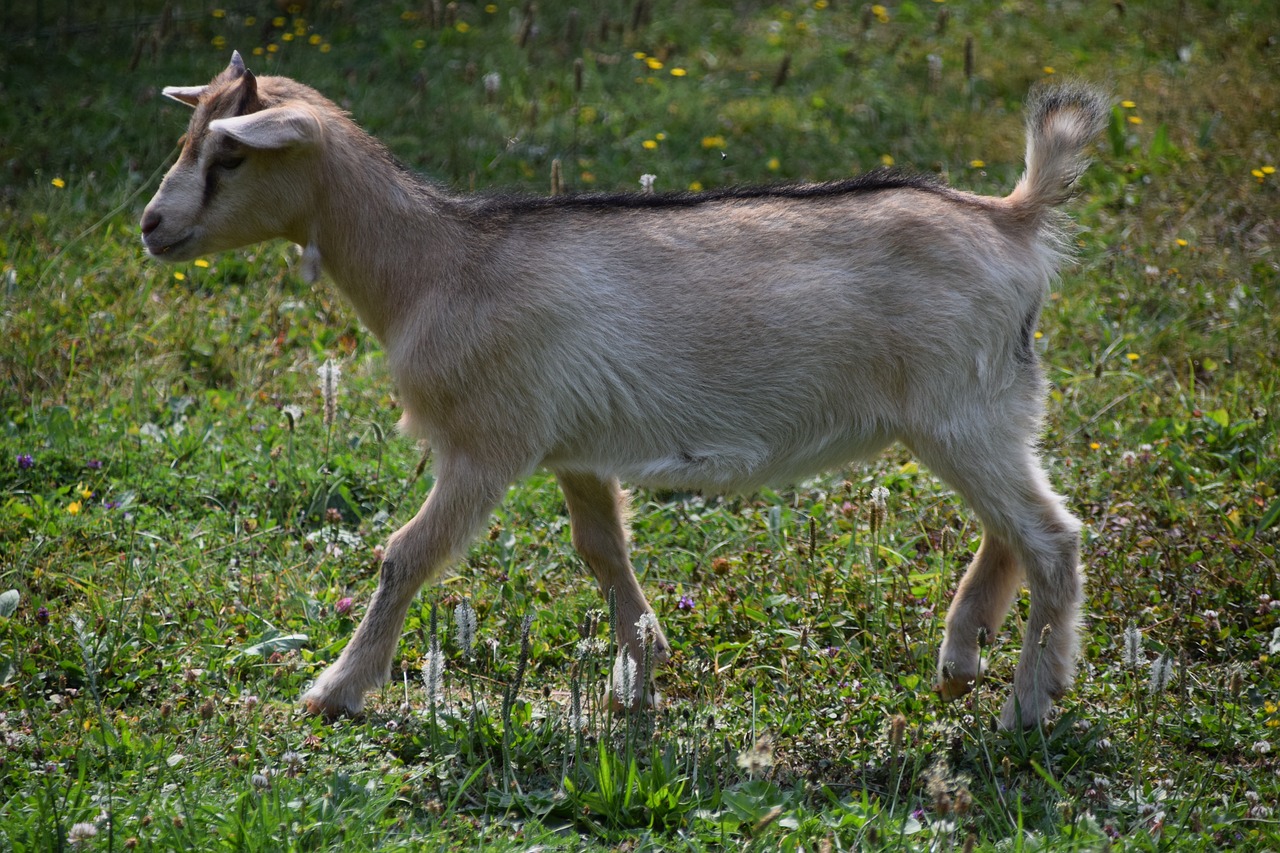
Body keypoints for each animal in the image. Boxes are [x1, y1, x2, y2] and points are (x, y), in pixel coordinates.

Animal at [142, 53, 1111, 727]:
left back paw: (1029, 703)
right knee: (1011, 526)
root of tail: (1014, 217)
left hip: (962, 410)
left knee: (1052, 537)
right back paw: (962, 656)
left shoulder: (487, 441)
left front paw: (335, 689)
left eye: (229, 155)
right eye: (191, 140)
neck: (434, 264)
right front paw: (642, 675)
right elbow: (604, 553)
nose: (153, 225)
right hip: (984, 413)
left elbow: (406, 554)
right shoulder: (575, 449)